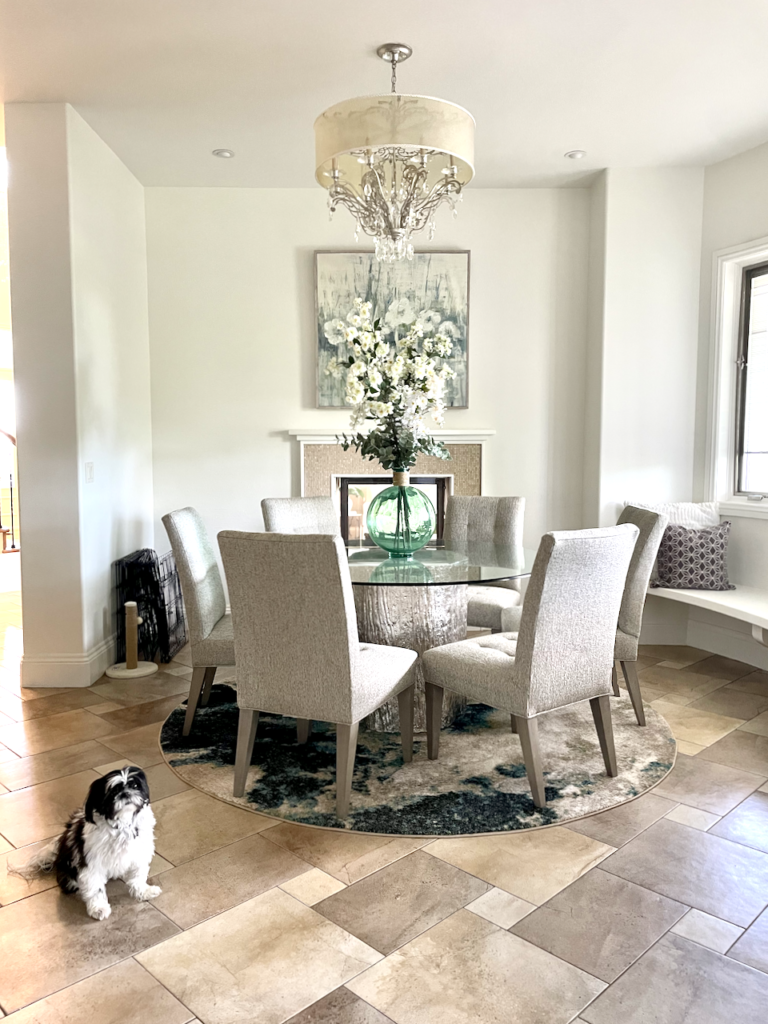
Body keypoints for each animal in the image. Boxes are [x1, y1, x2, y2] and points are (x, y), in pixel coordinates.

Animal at [9, 761, 162, 921]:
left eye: (135, 786)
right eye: (113, 792)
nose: (125, 793)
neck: (123, 824)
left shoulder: (139, 853)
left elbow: (138, 876)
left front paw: (144, 892)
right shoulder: (91, 862)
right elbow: (95, 888)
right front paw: (99, 908)